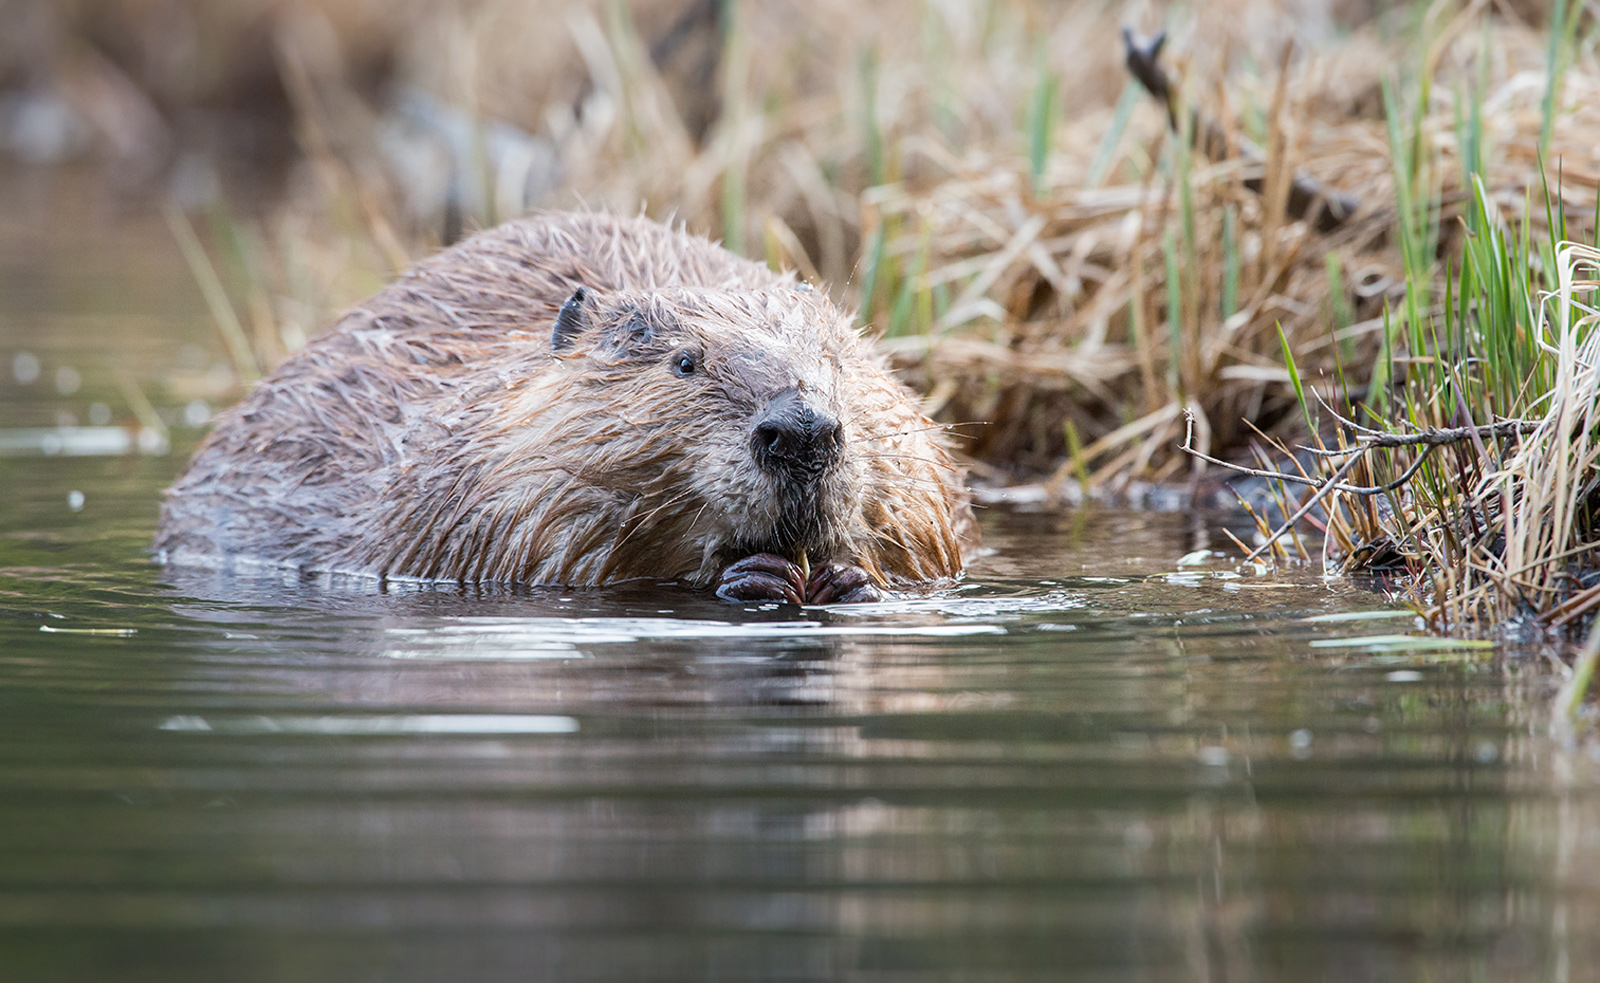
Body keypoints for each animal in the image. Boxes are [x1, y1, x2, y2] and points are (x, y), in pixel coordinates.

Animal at [152, 211, 972, 605]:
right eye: (685, 362)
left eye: (837, 361)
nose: (800, 431)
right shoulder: (493, 495)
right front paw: (754, 577)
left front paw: (849, 579)